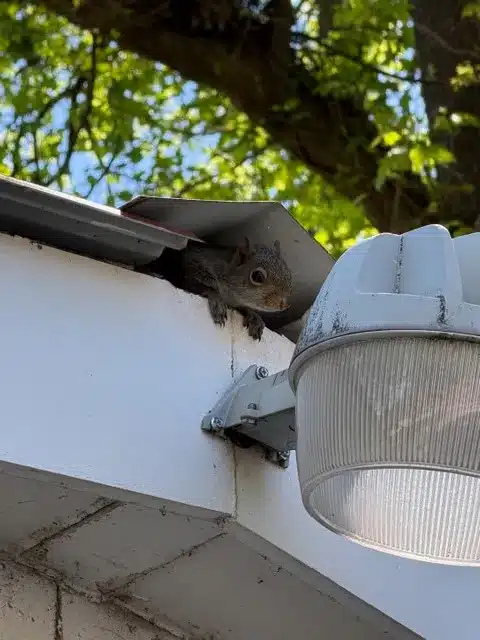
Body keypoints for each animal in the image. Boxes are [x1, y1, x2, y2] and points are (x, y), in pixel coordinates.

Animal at [149, 238, 293, 341]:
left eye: (289, 273)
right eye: (257, 276)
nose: (284, 304)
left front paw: (254, 317)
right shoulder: (193, 267)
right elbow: (197, 285)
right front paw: (217, 301)